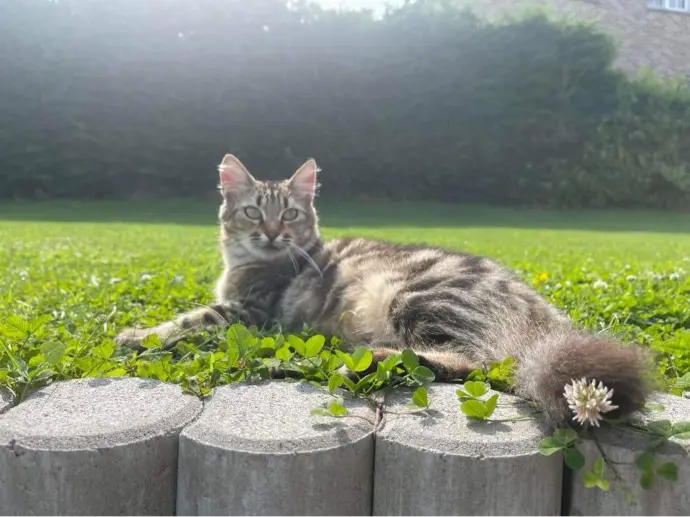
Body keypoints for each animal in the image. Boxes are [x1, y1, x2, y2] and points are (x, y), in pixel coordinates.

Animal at [117, 155, 652, 426]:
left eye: (289, 213)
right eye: (252, 212)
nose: (271, 232)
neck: (246, 262)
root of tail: (542, 314)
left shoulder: (248, 311)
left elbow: (190, 318)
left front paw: (137, 335)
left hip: (415, 297)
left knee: (466, 363)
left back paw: (360, 362)